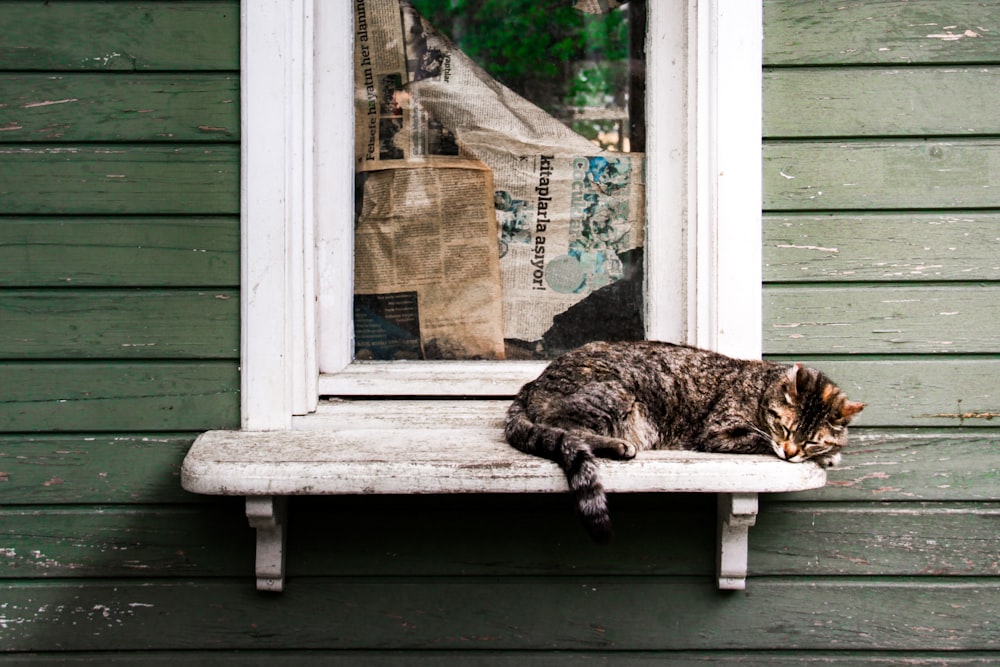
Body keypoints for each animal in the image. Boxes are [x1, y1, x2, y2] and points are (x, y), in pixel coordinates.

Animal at [504, 342, 864, 544]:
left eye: (811, 440)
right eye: (785, 429)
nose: (791, 453)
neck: (763, 390)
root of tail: (531, 383)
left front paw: (829, 454)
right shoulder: (722, 432)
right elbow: (760, 441)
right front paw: (826, 456)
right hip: (613, 393)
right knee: (567, 428)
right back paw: (617, 445)